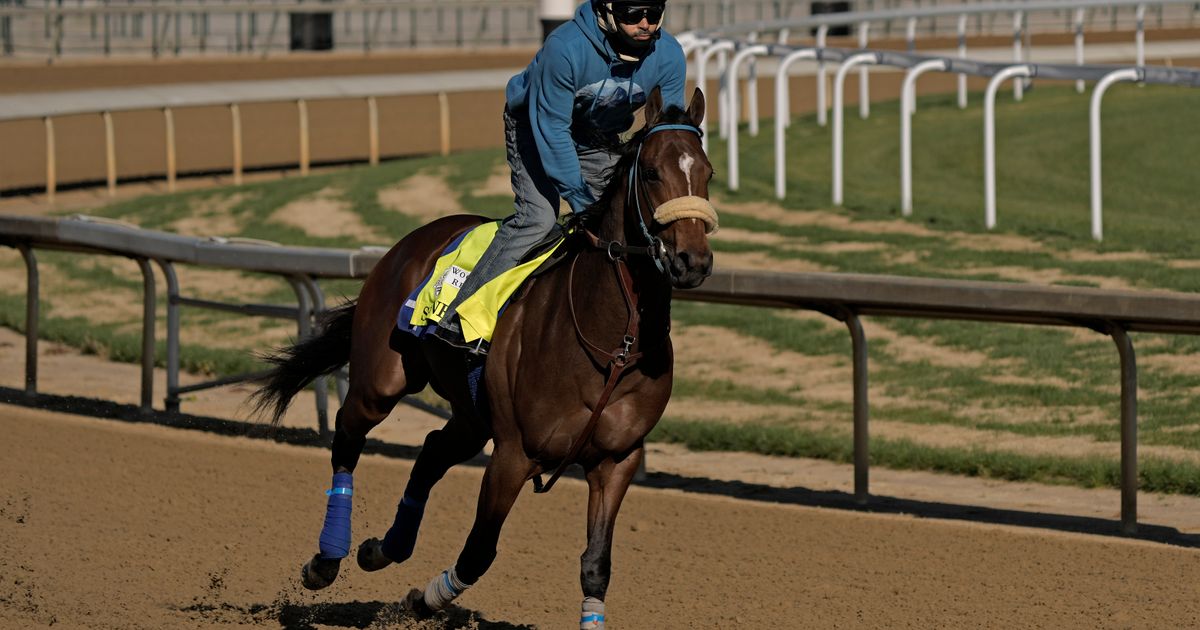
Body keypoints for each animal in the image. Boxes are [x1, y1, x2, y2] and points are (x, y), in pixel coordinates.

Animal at [250, 86, 715, 628]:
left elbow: (596, 565)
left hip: (473, 414)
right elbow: (479, 551)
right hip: (381, 381)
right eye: (653, 173)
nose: (692, 261)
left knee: (432, 449)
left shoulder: (618, 459)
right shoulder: (515, 454)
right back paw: (326, 560)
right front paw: (420, 599)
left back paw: (383, 549)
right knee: (348, 435)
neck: (611, 345)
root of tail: (415, 239)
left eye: (707, 172)